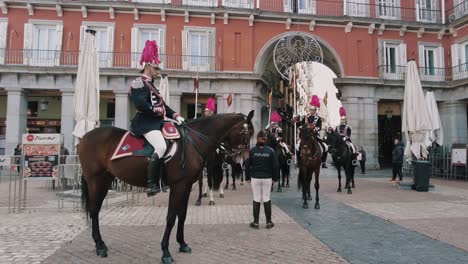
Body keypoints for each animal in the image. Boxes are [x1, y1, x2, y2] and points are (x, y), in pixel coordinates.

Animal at [78, 110, 254, 262]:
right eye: (245, 133)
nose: (243, 159)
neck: (193, 142)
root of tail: (85, 137)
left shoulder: (187, 185)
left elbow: (182, 215)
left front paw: (182, 244)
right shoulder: (178, 185)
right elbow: (171, 217)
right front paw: (166, 252)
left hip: (105, 180)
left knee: (95, 210)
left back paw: (100, 244)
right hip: (96, 181)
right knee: (94, 210)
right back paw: (99, 246)